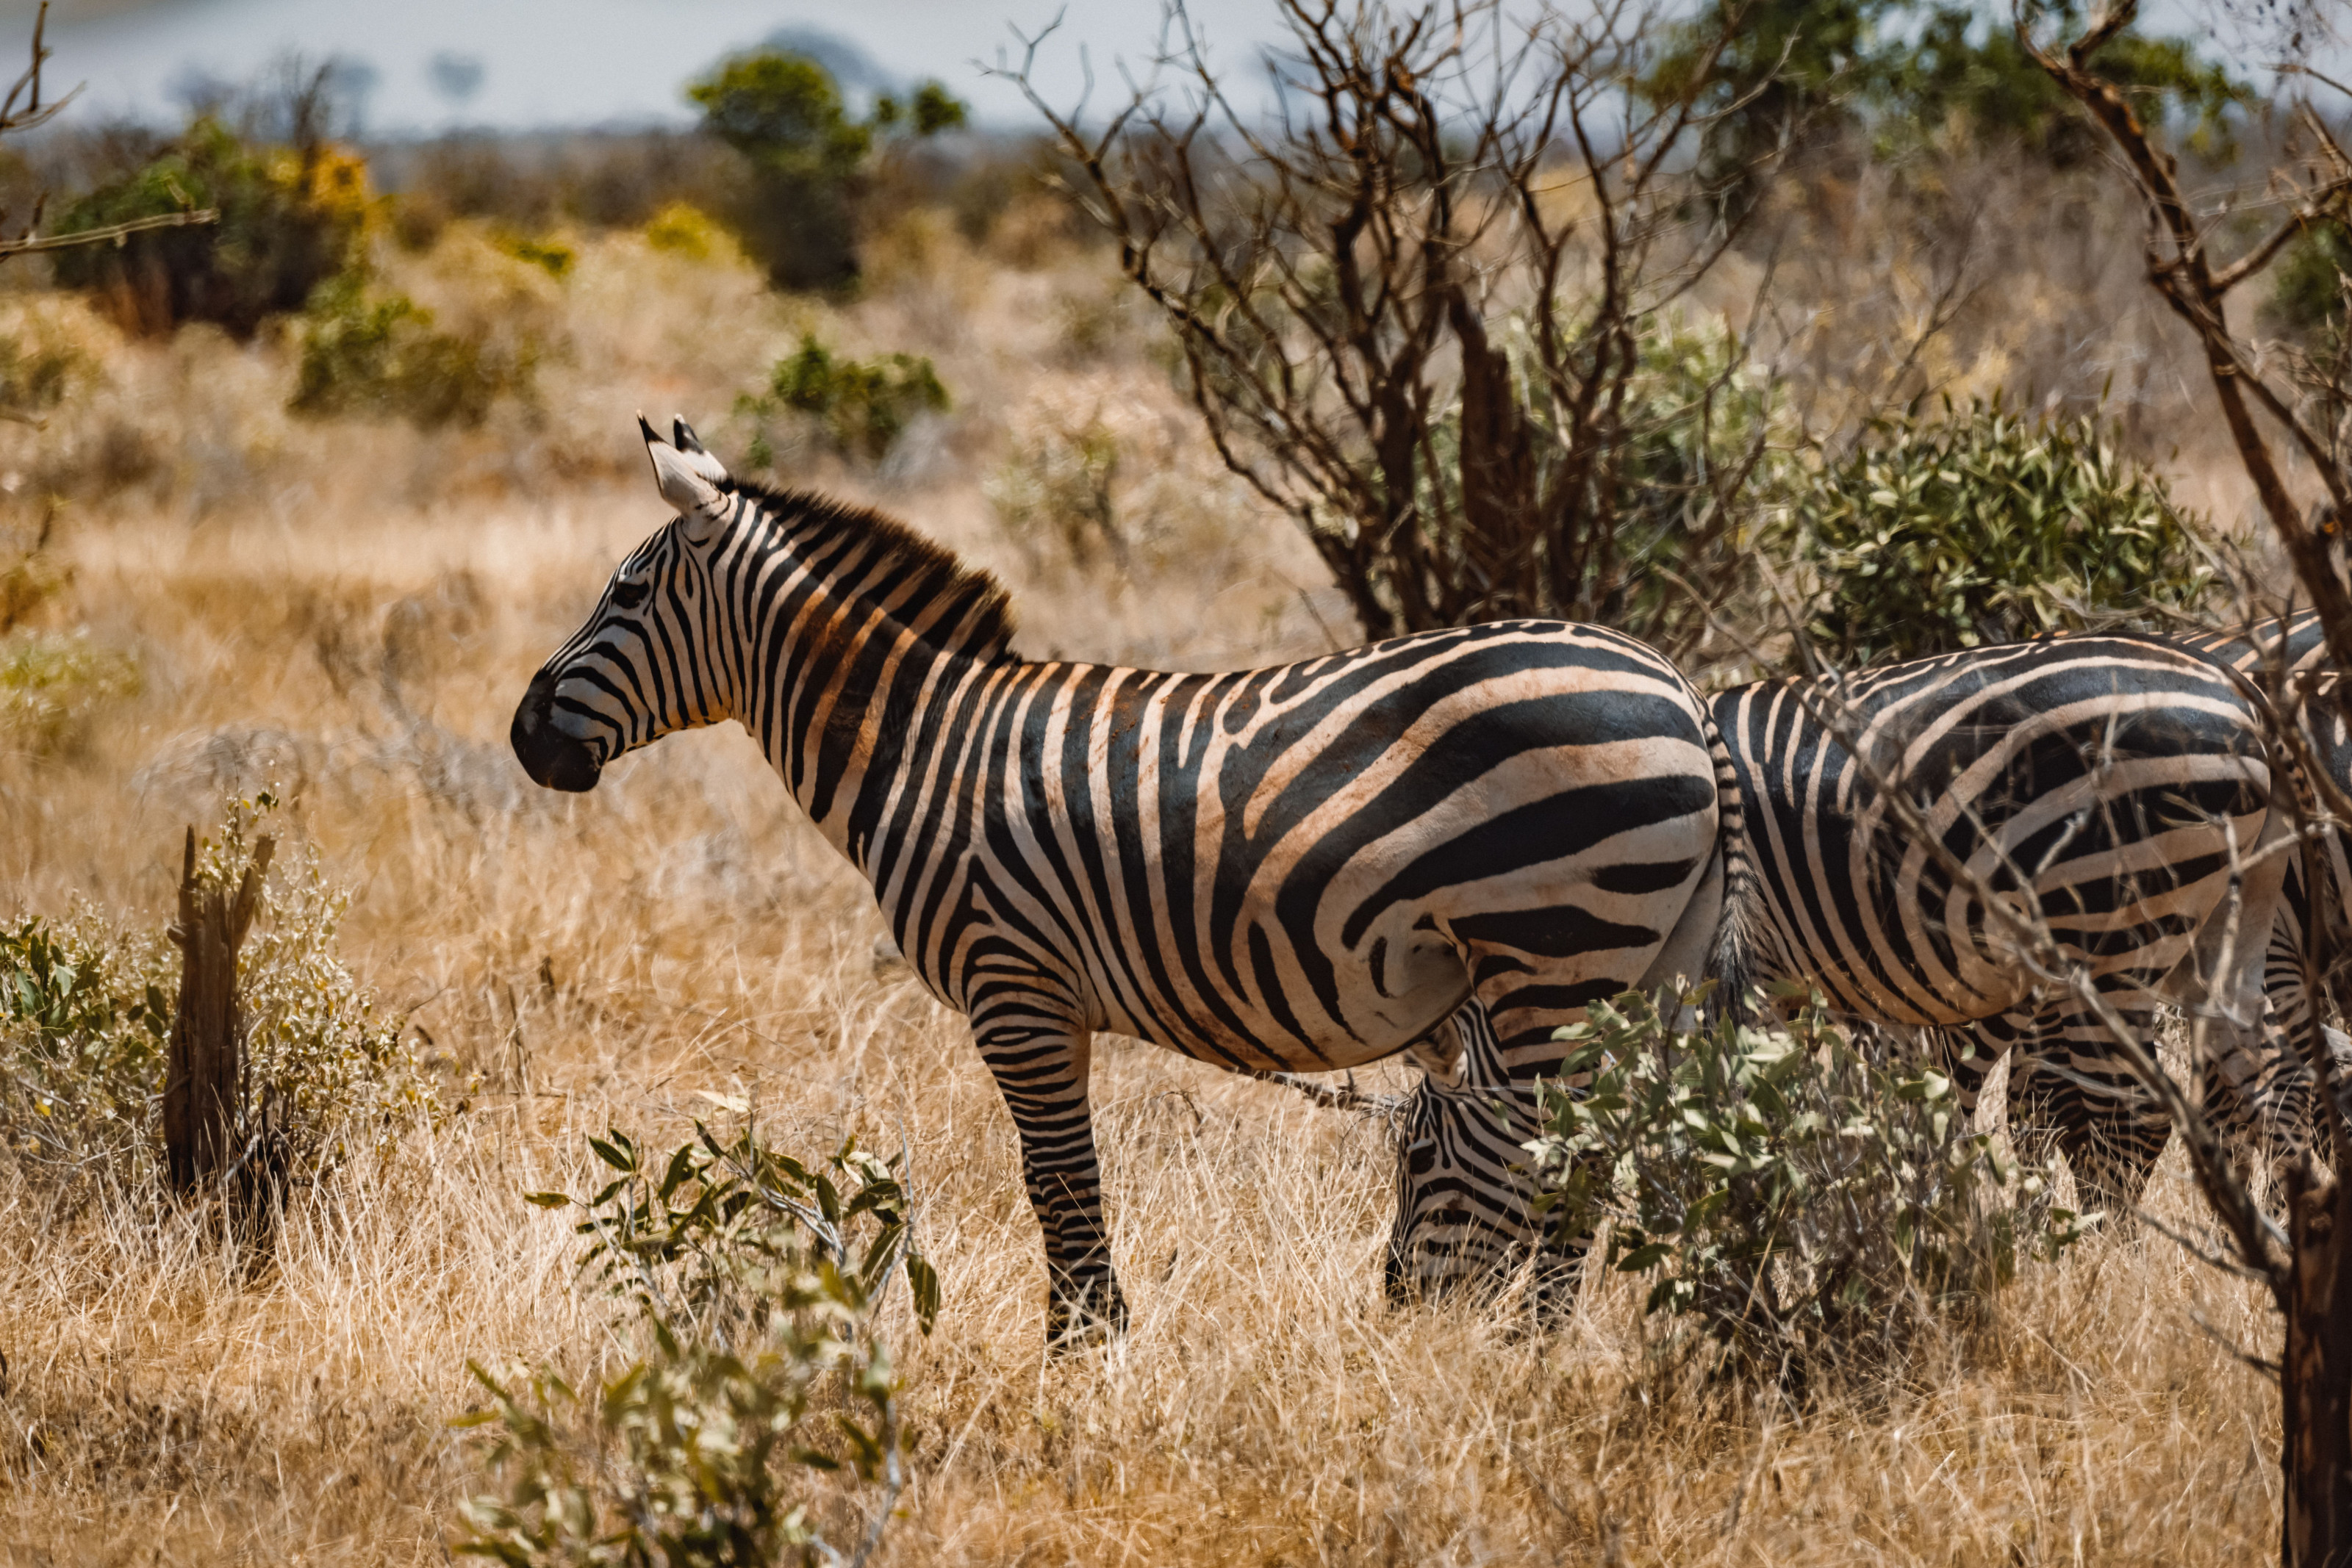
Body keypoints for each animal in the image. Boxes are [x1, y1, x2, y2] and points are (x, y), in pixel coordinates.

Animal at [510, 418, 1734, 1342]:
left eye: (625, 596)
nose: (524, 738)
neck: (920, 741)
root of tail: (1675, 684)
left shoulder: (1015, 987)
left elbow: (1057, 1178)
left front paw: (1082, 1351)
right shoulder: (1048, 998)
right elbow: (1066, 1175)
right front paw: (1092, 1341)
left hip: (1556, 956)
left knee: (1556, 1163)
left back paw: (1519, 1354)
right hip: (1640, 972)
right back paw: (1540, 1354)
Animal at [1707, 634, 2290, 1212]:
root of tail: (2244, 695)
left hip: (2111, 939)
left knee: (2129, 1119)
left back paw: (2099, 1236)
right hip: (2232, 915)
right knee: (2276, 1077)